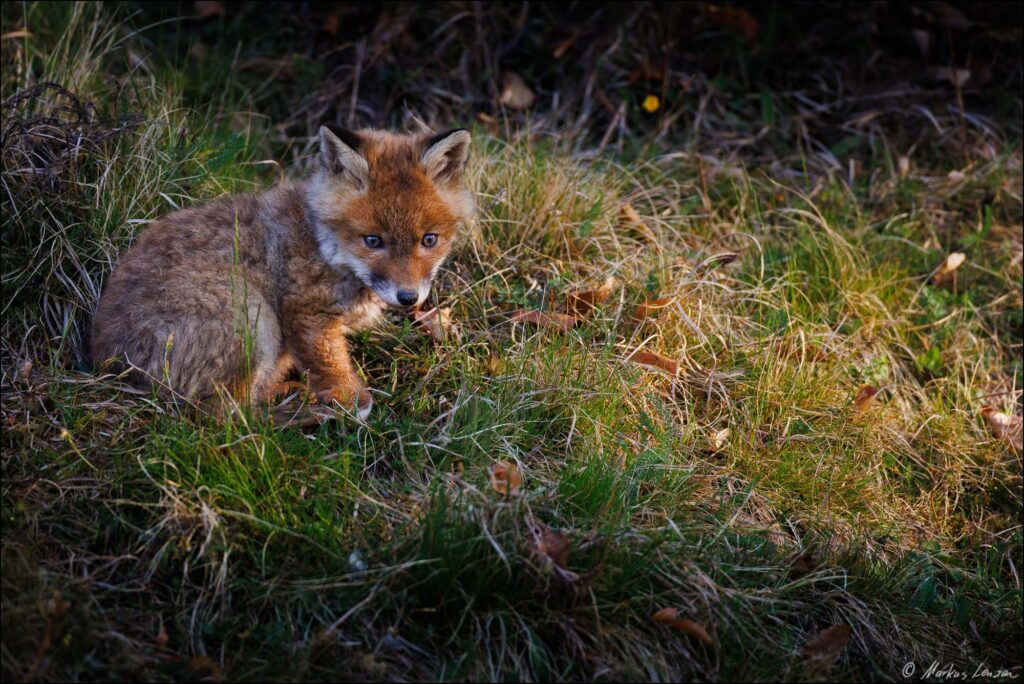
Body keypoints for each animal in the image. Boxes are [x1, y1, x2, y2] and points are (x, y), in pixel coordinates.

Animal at [90, 126, 473, 419]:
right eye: (373, 240)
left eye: (429, 240)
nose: (408, 298)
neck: (323, 244)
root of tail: (104, 358)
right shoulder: (305, 311)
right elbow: (334, 368)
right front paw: (351, 403)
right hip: (254, 318)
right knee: (223, 416)